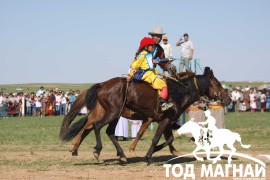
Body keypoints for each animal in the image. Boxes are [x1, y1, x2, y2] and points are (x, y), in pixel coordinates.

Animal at [59, 67, 230, 163]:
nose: (227, 99)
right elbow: (154, 137)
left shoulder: (165, 120)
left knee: (106, 131)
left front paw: (159, 151)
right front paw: (148, 155)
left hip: (115, 115)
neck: (179, 92)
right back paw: (92, 150)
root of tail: (102, 85)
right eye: (218, 84)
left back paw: (120, 155)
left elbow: (169, 139)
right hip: (112, 113)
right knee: (94, 126)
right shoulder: (160, 120)